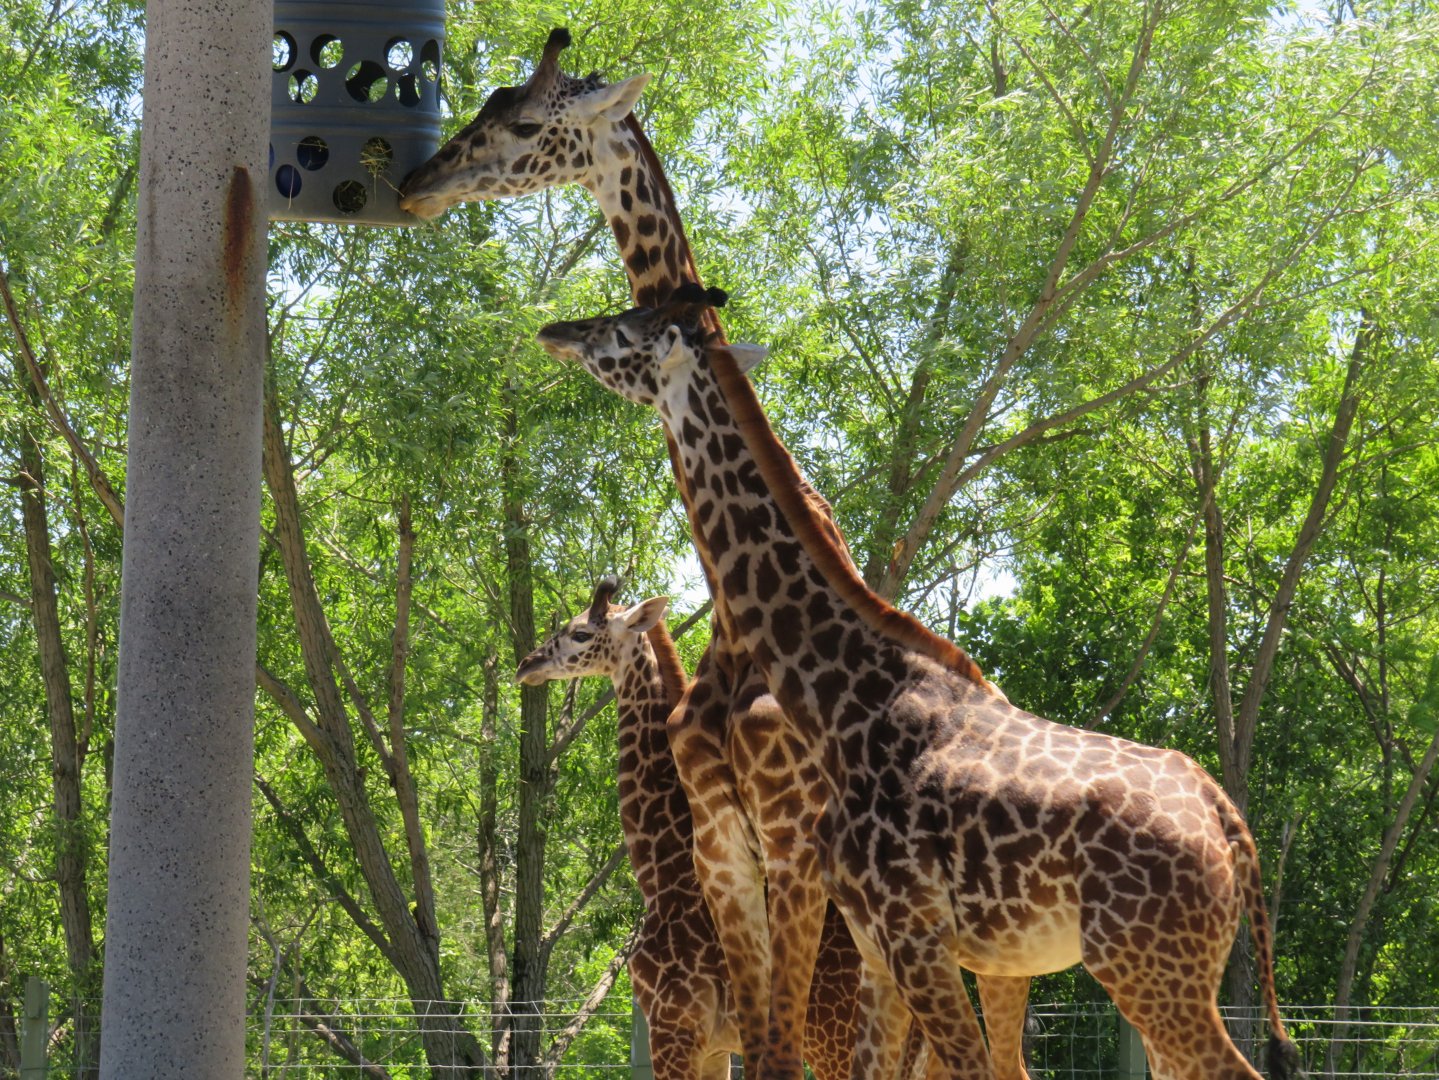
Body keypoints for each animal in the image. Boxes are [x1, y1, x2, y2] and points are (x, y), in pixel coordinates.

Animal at [514, 577, 869, 1080]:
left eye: (580, 632)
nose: (527, 665)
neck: (663, 871)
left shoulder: (673, 1026)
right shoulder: (716, 1047)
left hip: (832, 1037)